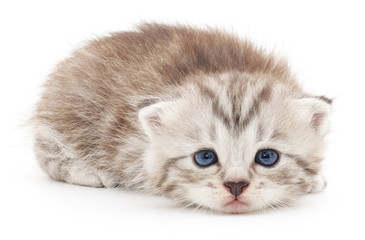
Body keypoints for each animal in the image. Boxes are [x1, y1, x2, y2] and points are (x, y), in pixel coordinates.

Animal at [32, 23, 332, 214]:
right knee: (48, 156)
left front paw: (314, 179)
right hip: (63, 119)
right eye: (205, 157)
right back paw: (92, 173)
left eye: (267, 157)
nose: (236, 185)